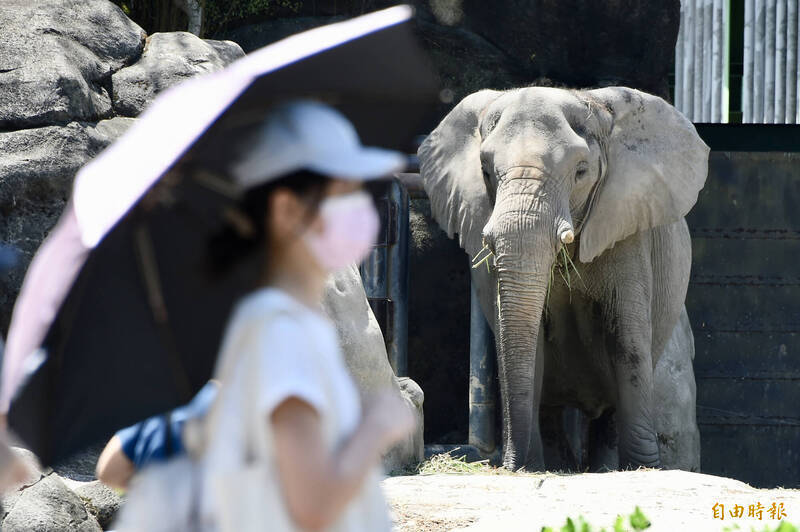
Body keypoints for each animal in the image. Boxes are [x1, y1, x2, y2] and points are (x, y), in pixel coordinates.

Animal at [418, 85, 708, 472]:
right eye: (485, 170)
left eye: (581, 171)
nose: (507, 465)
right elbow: (526, 342)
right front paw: (528, 468)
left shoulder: (628, 230)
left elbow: (627, 340)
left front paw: (645, 468)